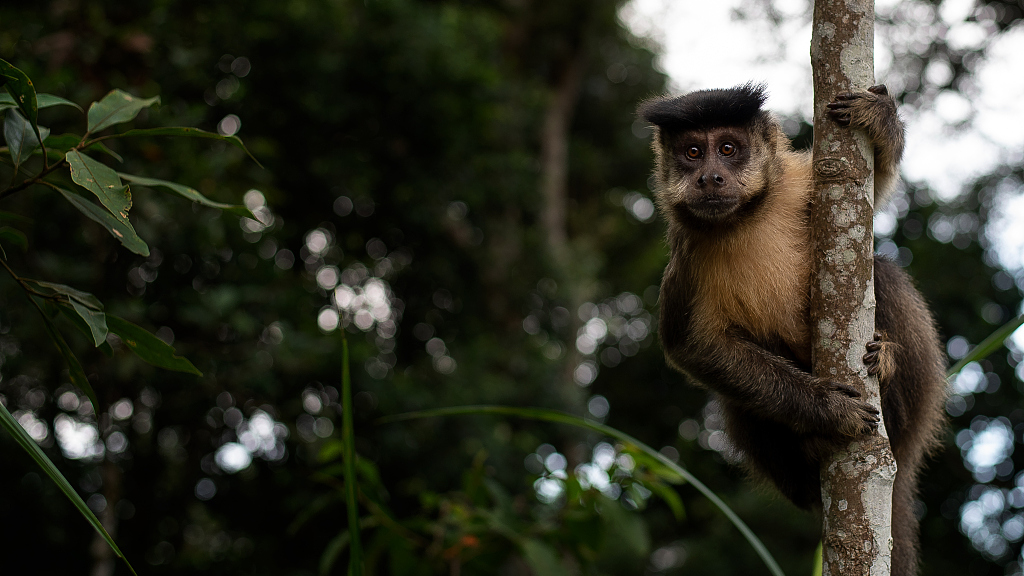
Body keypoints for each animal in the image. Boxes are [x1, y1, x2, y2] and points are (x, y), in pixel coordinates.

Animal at [638, 84, 942, 573]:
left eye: (728, 149)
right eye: (692, 153)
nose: (709, 178)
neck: (747, 215)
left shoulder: (799, 179)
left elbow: (869, 196)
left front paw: (883, 122)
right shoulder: (687, 252)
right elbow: (691, 347)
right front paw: (826, 409)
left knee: (883, 272)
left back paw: (889, 371)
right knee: (736, 398)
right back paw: (811, 457)